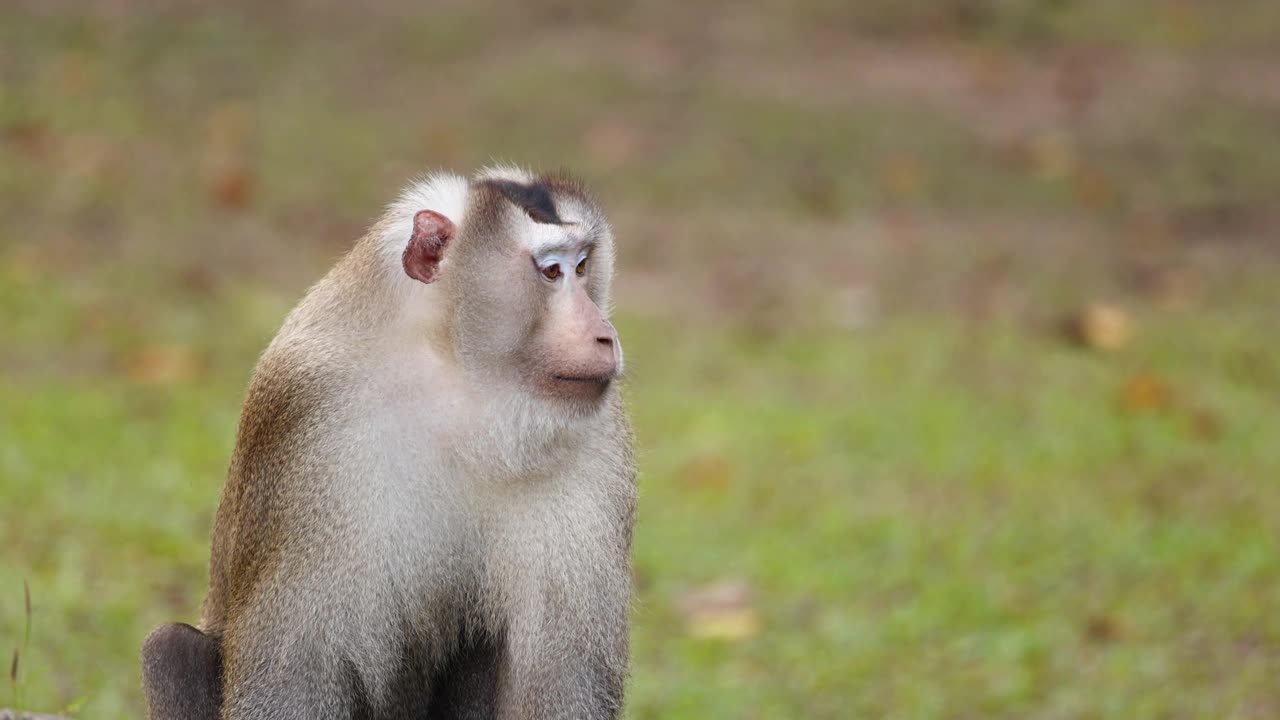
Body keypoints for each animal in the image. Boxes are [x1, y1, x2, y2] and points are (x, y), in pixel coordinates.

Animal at [138, 167, 634, 717]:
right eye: (550, 272)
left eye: (583, 266)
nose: (604, 335)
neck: (462, 386)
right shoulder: (315, 417)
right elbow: (294, 678)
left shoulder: (596, 439)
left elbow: (562, 677)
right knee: (170, 646)